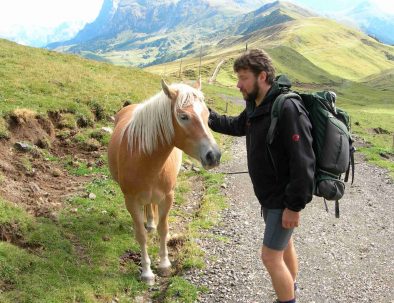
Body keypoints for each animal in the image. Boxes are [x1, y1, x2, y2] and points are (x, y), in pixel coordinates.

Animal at [107, 78, 222, 284]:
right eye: (183, 116)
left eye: (207, 114)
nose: (214, 156)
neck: (144, 158)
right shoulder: (131, 200)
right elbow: (141, 235)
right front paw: (147, 272)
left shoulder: (168, 197)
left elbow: (163, 229)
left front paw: (164, 264)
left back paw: (151, 222)